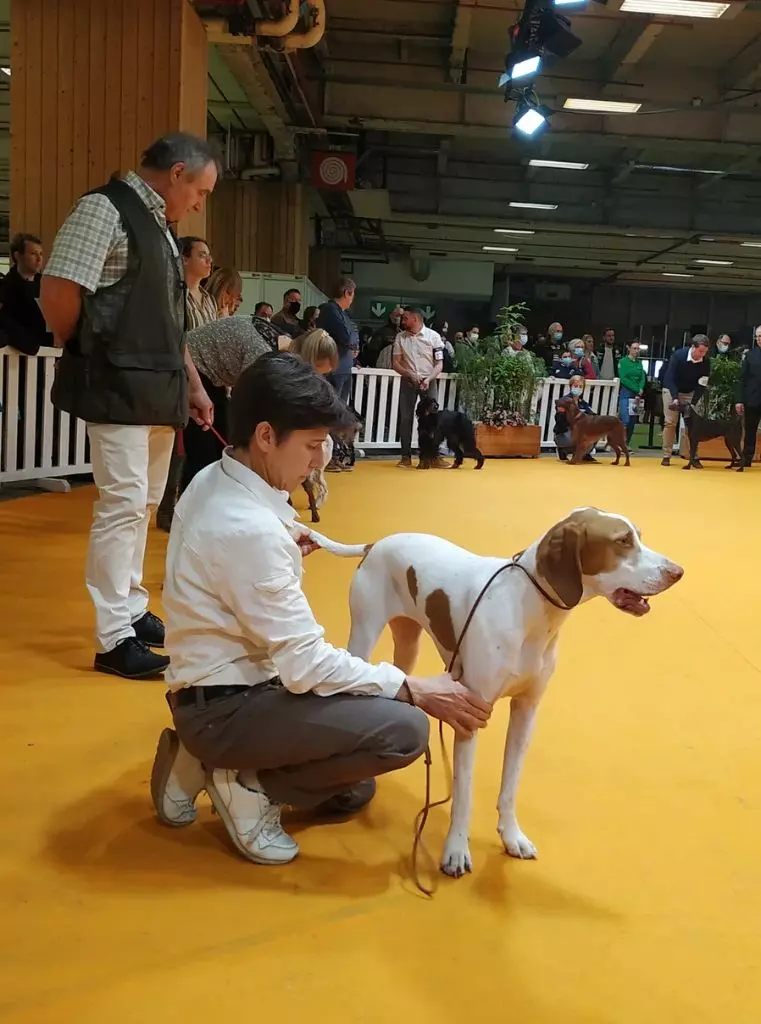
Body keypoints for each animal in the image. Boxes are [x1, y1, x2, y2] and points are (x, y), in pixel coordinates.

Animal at [309, 507, 684, 876]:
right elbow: (463, 793)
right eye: (622, 541)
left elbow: (510, 785)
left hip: (409, 641)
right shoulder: (470, 715)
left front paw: (511, 836)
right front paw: (456, 850)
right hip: (364, 633)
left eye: (638, 535)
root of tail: (377, 543)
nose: (677, 572)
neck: (530, 607)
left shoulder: (525, 711)